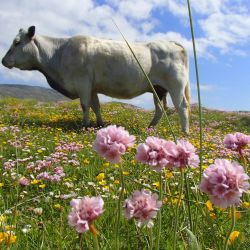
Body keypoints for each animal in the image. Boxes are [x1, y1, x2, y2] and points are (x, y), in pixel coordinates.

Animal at [1, 25, 189, 133]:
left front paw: (84, 126)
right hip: (158, 89)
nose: (3, 60)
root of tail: (171, 43)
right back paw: (149, 128)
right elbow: (96, 106)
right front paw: (99, 125)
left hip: (175, 85)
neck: (59, 54)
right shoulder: (92, 87)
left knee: (182, 107)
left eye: (17, 42)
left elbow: (85, 105)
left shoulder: (82, 82)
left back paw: (184, 133)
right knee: (160, 109)